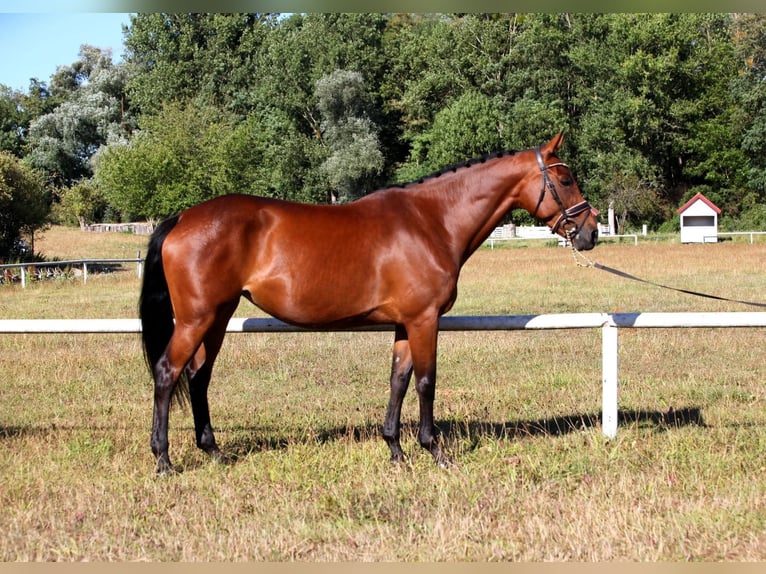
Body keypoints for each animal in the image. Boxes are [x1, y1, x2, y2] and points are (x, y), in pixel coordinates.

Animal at [139, 132, 598, 475]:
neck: (431, 221)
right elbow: (426, 382)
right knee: (167, 373)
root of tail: (181, 218)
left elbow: (398, 380)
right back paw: (163, 459)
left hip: (218, 318)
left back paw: (214, 452)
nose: (590, 231)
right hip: (196, 320)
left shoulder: (404, 323)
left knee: (198, 377)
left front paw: (396, 451)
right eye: (566, 178)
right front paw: (436, 452)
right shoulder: (424, 320)